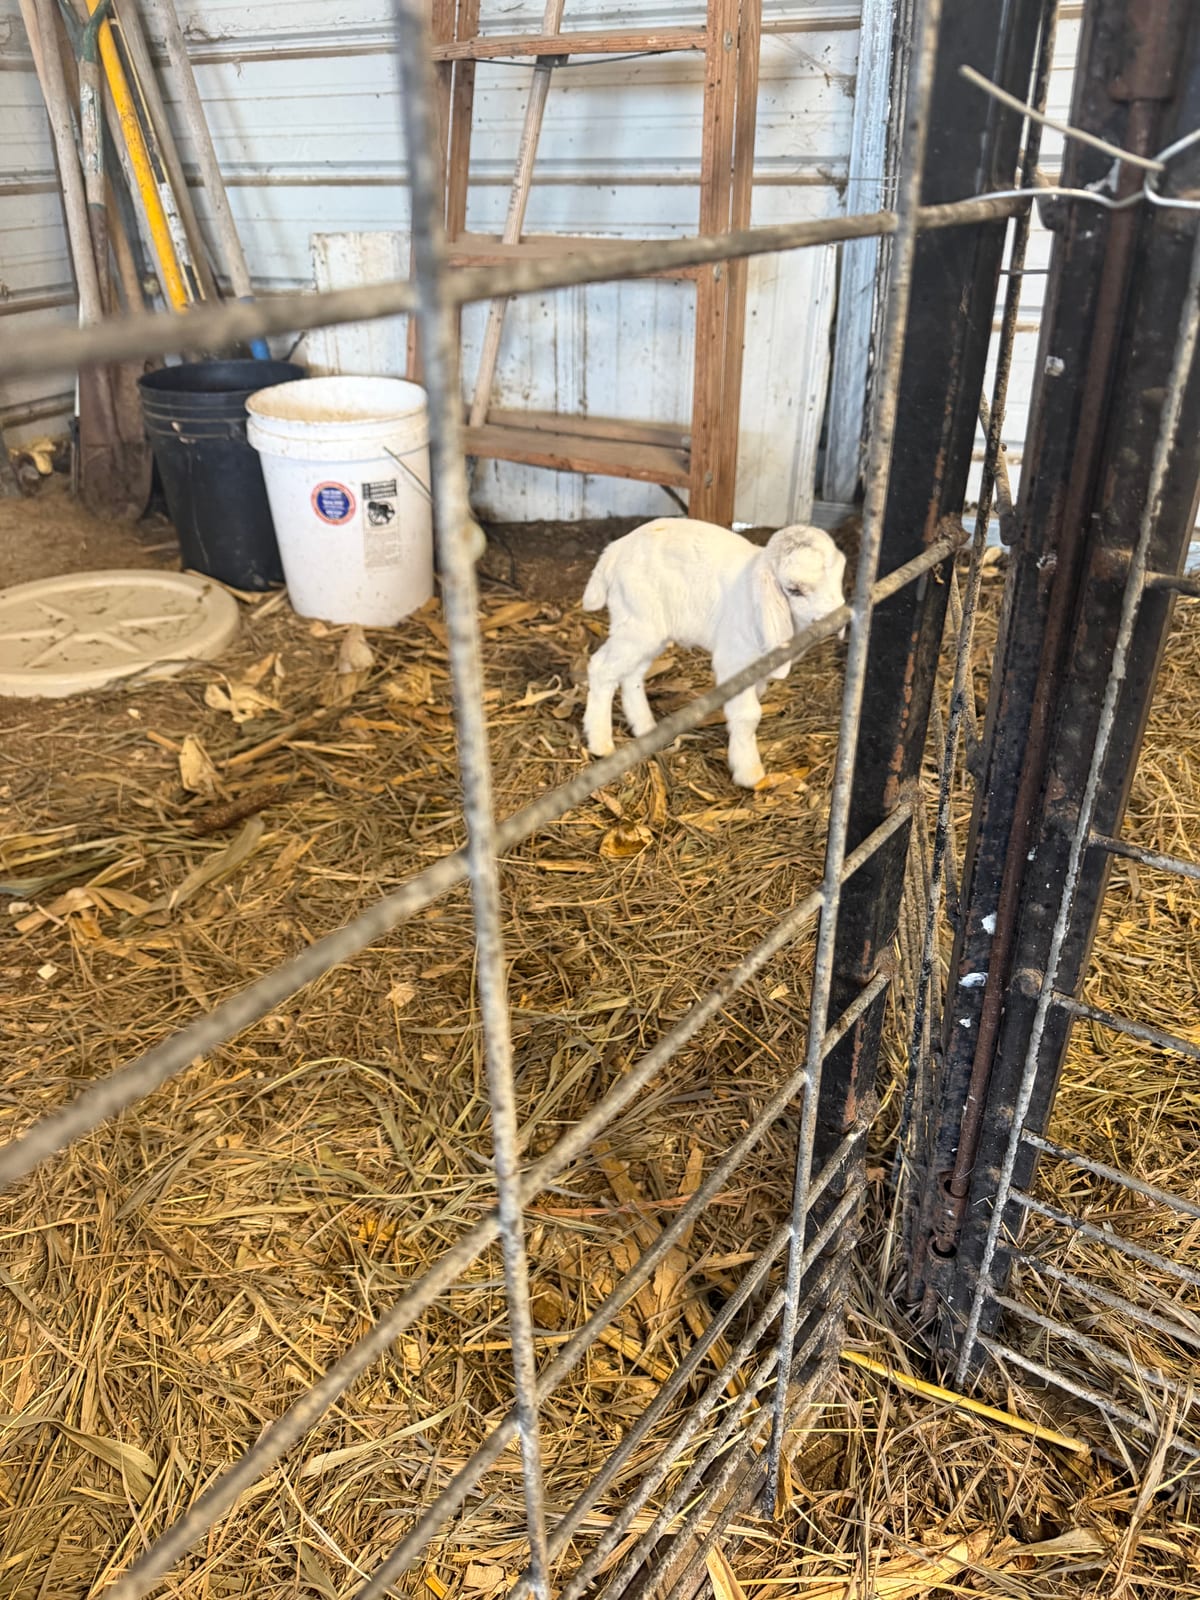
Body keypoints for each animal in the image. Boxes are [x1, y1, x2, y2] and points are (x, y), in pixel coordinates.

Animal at [581, 518, 846, 789]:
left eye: (838, 577)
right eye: (794, 590)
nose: (837, 621)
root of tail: (615, 549)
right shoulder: (735, 659)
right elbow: (748, 714)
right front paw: (749, 773)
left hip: (649, 631)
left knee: (632, 674)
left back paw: (645, 728)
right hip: (638, 622)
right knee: (601, 668)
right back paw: (601, 743)